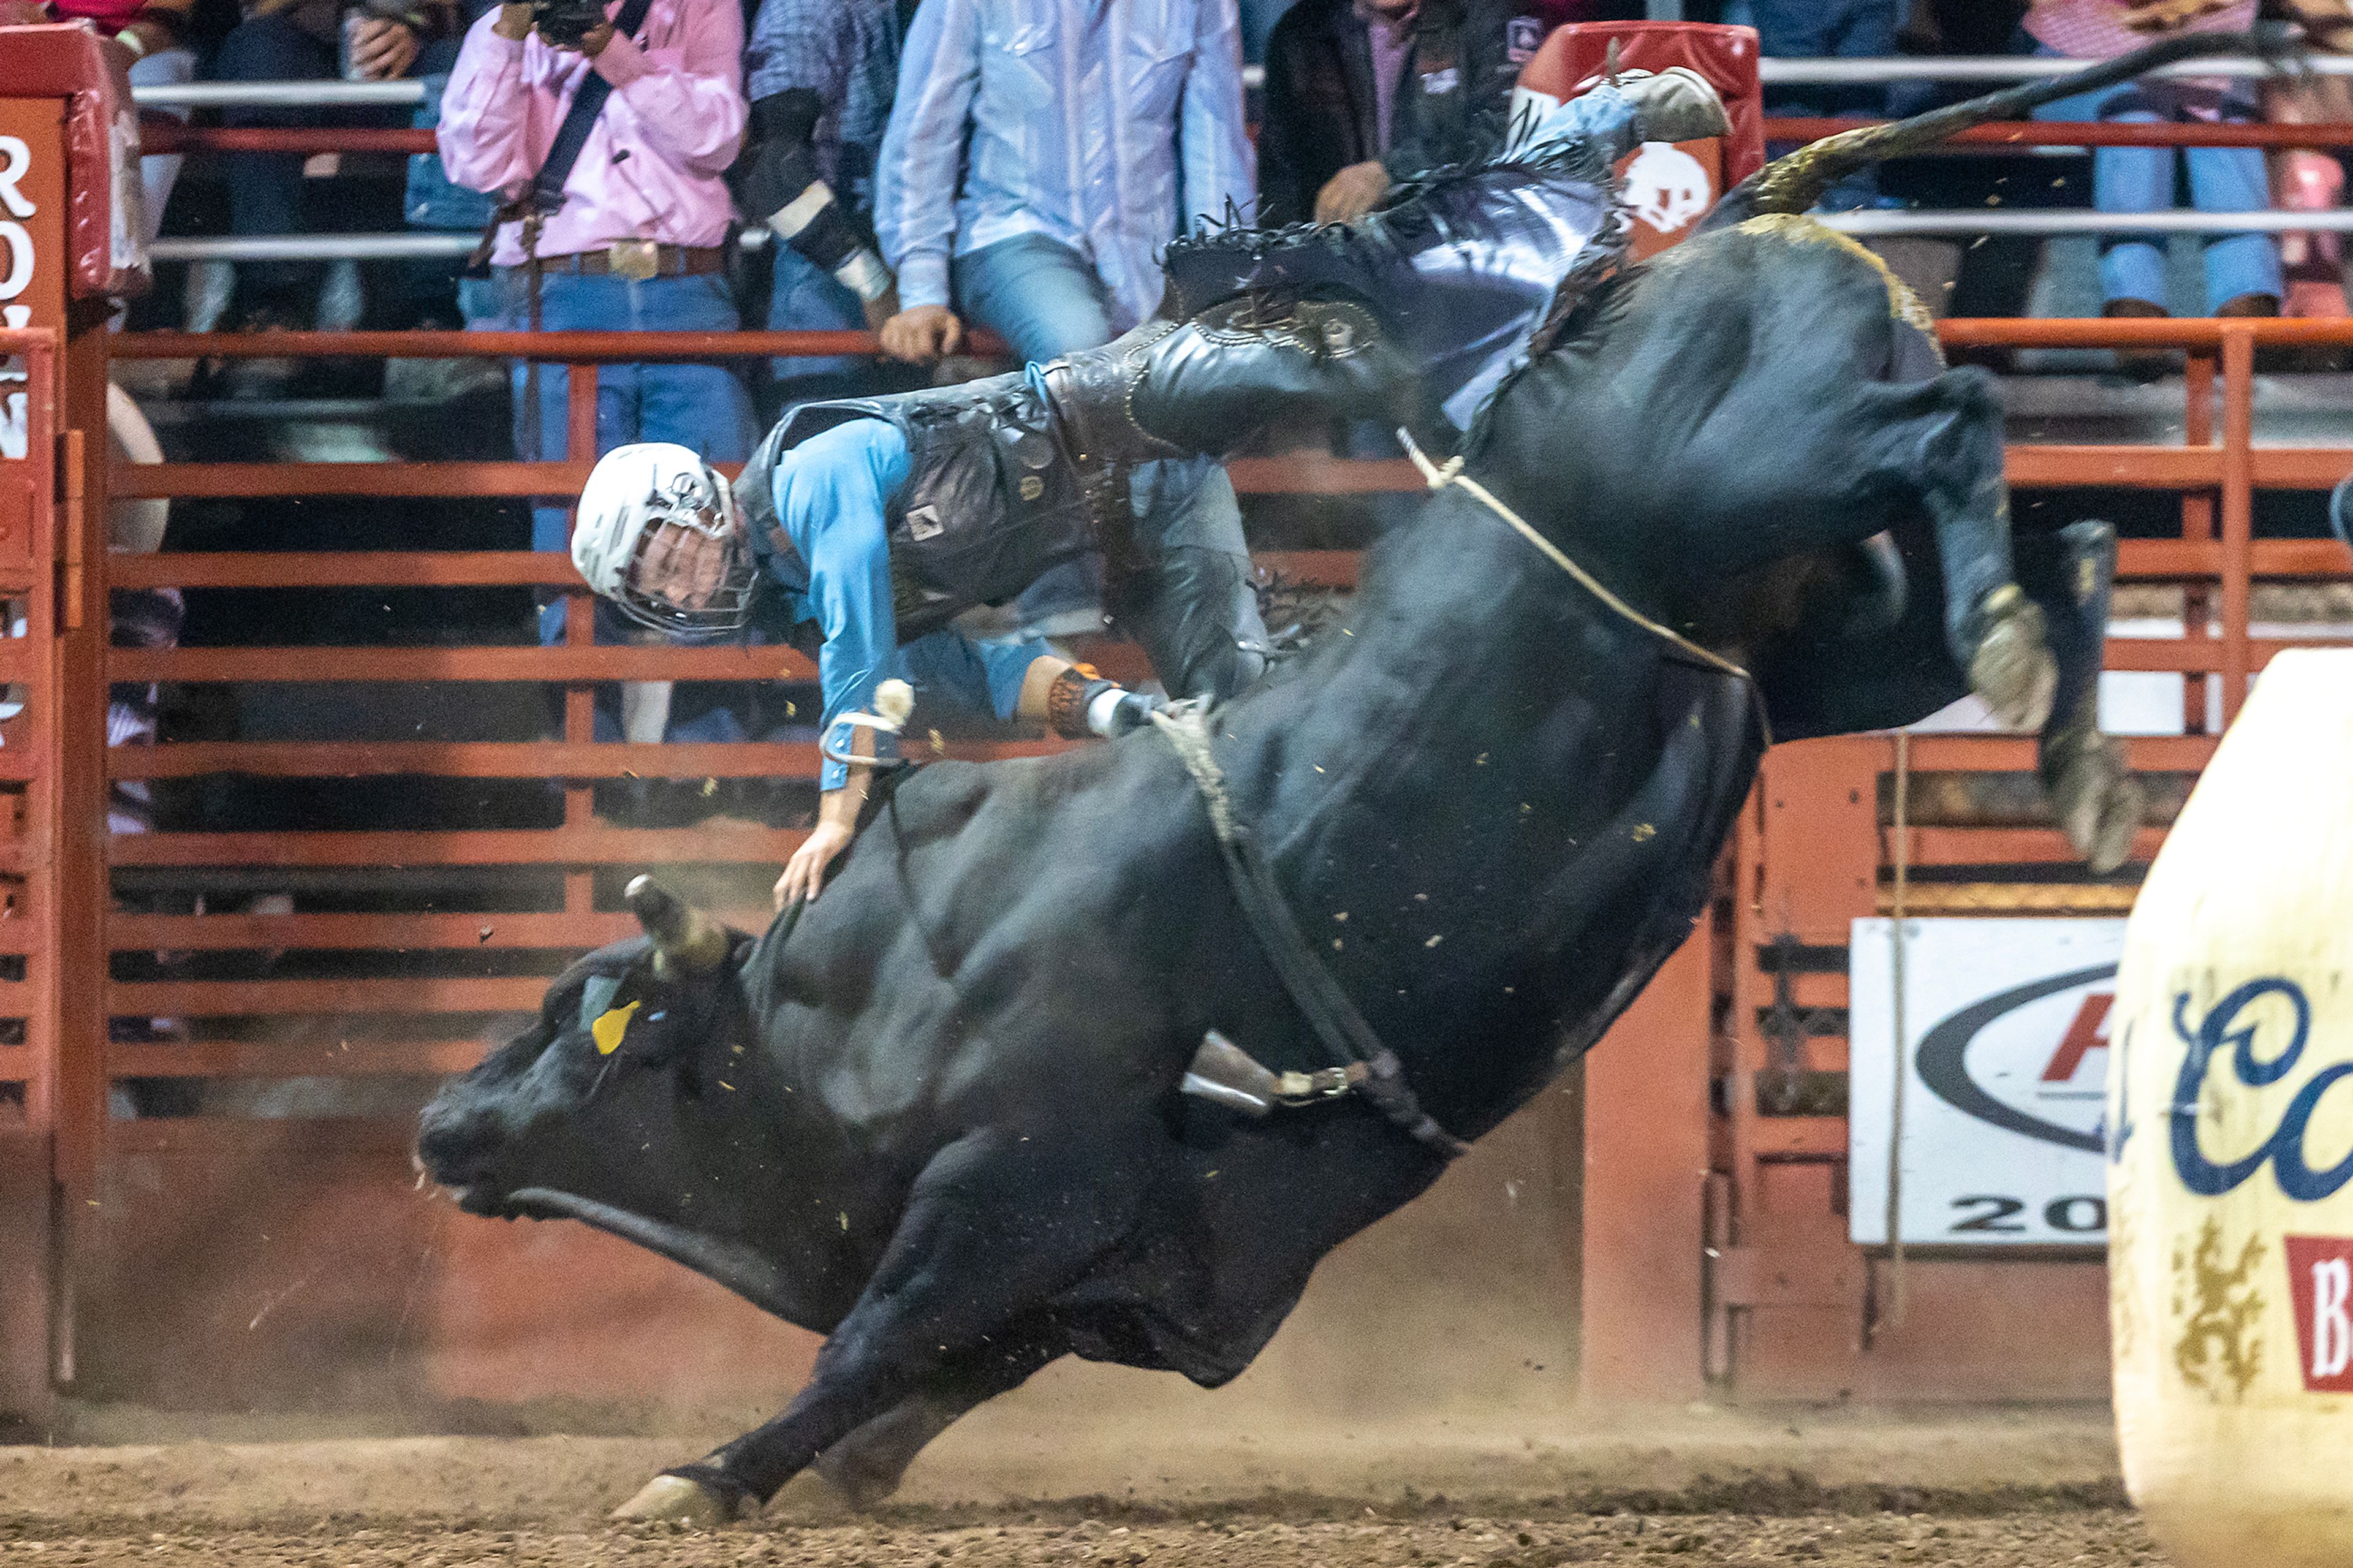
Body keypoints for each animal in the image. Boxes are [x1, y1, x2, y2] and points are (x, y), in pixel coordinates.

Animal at [414, 27, 2287, 1516]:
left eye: (581, 1012)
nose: (436, 1120)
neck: (842, 999)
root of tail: (1731, 229)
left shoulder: (1010, 1181)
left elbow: (870, 1340)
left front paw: (698, 1472)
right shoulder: (1113, 1259)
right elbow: (916, 1377)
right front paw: (826, 1471)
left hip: (1757, 466)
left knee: (1954, 428)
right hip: (1808, 640)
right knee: (2043, 544)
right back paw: (2063, 719)